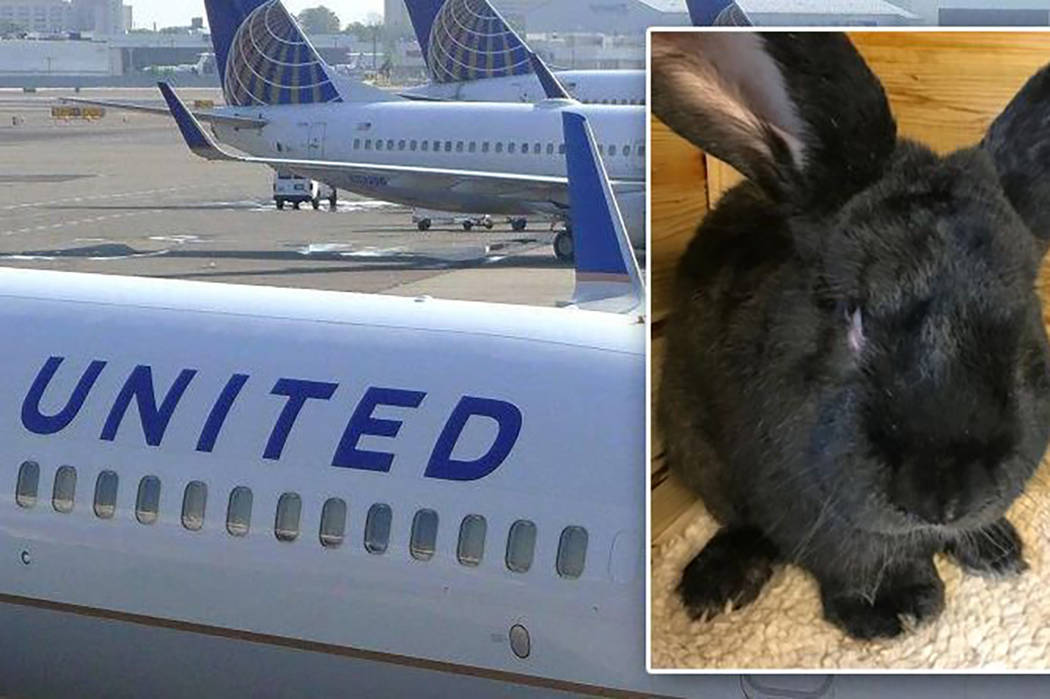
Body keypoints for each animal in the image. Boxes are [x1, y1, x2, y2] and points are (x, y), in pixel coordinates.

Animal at [652, 31, 1050, 640]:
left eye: (1025, 308)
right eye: (853, 316)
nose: (946, 498)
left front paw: (993, 551)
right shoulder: (816, 518)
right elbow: (856, 560)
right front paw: (892, 612)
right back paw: (716, 586)